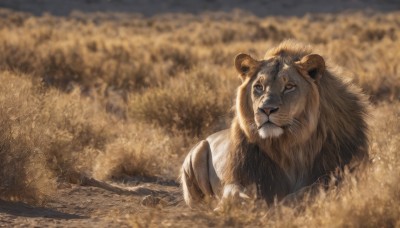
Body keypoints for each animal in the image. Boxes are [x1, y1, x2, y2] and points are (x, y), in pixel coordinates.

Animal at [181, 40, 368, 208]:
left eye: (289, 86)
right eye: (258, 86)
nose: (266, 109)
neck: (289, 146)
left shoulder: (339, 172)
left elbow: (311, 189)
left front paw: (282, 204)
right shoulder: (241, 176)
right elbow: (234, 193)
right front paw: (243, 202)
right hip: (198, 150)